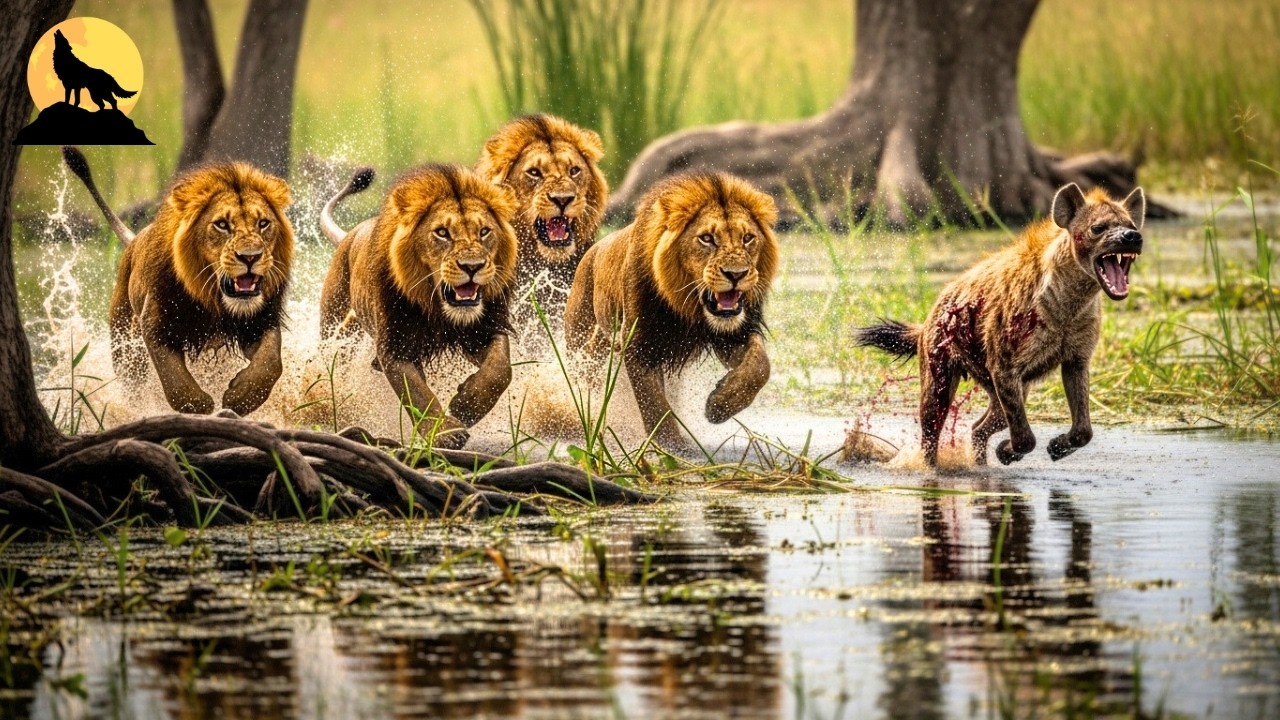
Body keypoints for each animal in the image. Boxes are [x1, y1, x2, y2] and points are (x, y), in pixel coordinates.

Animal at [62, 147, 293, 416]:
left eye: (263, 223)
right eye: (222, 225)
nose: (250, 257)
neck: (212, 300)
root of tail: (135, 238)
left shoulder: (259, 321)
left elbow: (271, 361)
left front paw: (242, 398)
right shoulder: (155, 322)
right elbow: (172, 375)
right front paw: (198, 406)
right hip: (125, 340)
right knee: (132, 381)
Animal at [319, 164, 519, 449]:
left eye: (484, 232)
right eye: (442, 233)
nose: (472, 267)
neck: (437, 308)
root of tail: (351, 234)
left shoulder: (483, 329)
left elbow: (500, 370)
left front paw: (466, 406)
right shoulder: (396, 345)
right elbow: (416, 392)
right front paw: (445, 433)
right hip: (334, 322)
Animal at [565, 172, 779, 448]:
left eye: (748, 238)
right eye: (706, 238)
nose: (736, 274)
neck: (689, 308)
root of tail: (592, 249)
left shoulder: (733, 335)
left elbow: (760, 366)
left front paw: (720, 405)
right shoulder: (638, 341)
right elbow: (653, 402)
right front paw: (672, 446)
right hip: (580, 331)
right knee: (582, 363)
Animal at [857, 183, 1146, 466]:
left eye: (1132, 224)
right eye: (1098, 228)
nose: (1132, 237)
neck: (1069, 302)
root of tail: (931, 311)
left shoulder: (1076, 358)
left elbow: (1083, 429)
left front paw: (1054, 447)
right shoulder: (1004, 364)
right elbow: (1025, 437)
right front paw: (1009, 451)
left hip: (998, 384)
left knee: (981, 424)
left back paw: (981, 461)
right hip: (939, 367)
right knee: (932, 426)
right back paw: (932, 467)